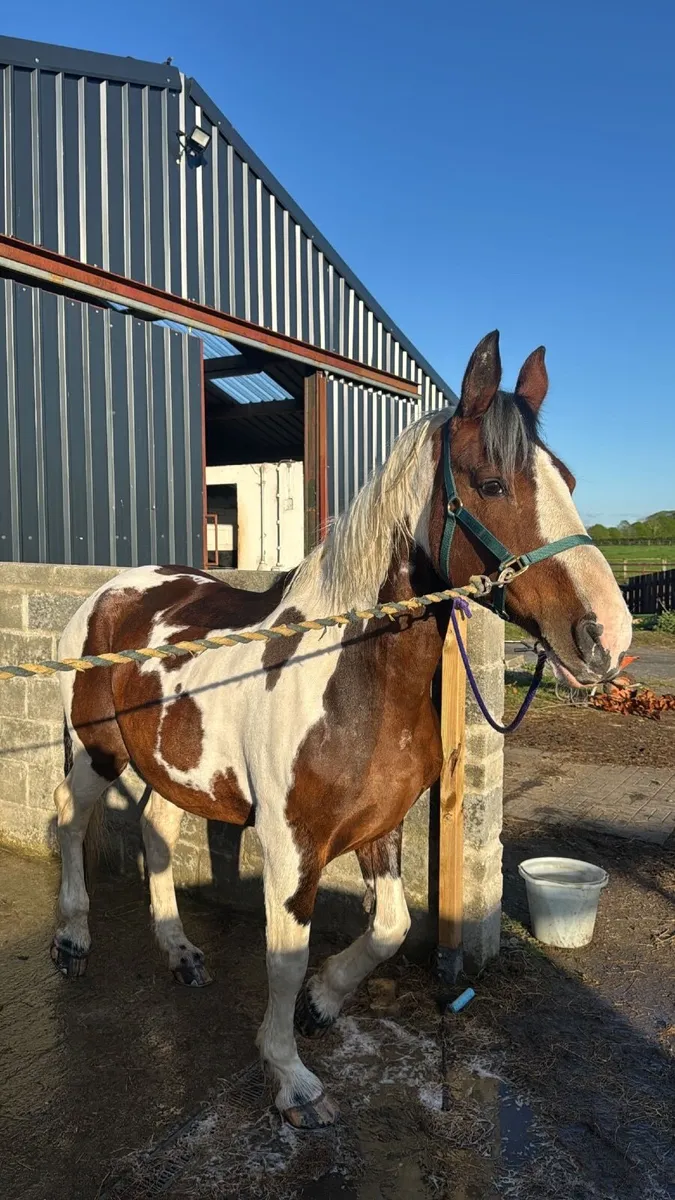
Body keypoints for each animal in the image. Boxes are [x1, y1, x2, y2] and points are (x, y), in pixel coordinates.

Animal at [50, 331, 631, 1129]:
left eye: (568, 479)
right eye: (490, 484)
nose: (608, 636)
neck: (349, 674)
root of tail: (107, 594)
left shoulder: (379, 824)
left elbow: (389, 927)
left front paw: (322, 1004)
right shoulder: (292, 843)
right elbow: (284, 955)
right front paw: (292, 1078)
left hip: (173, 764)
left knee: (156, 829)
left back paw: (180, 953)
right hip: (95, 752)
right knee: (70, 820)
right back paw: (72, 938)